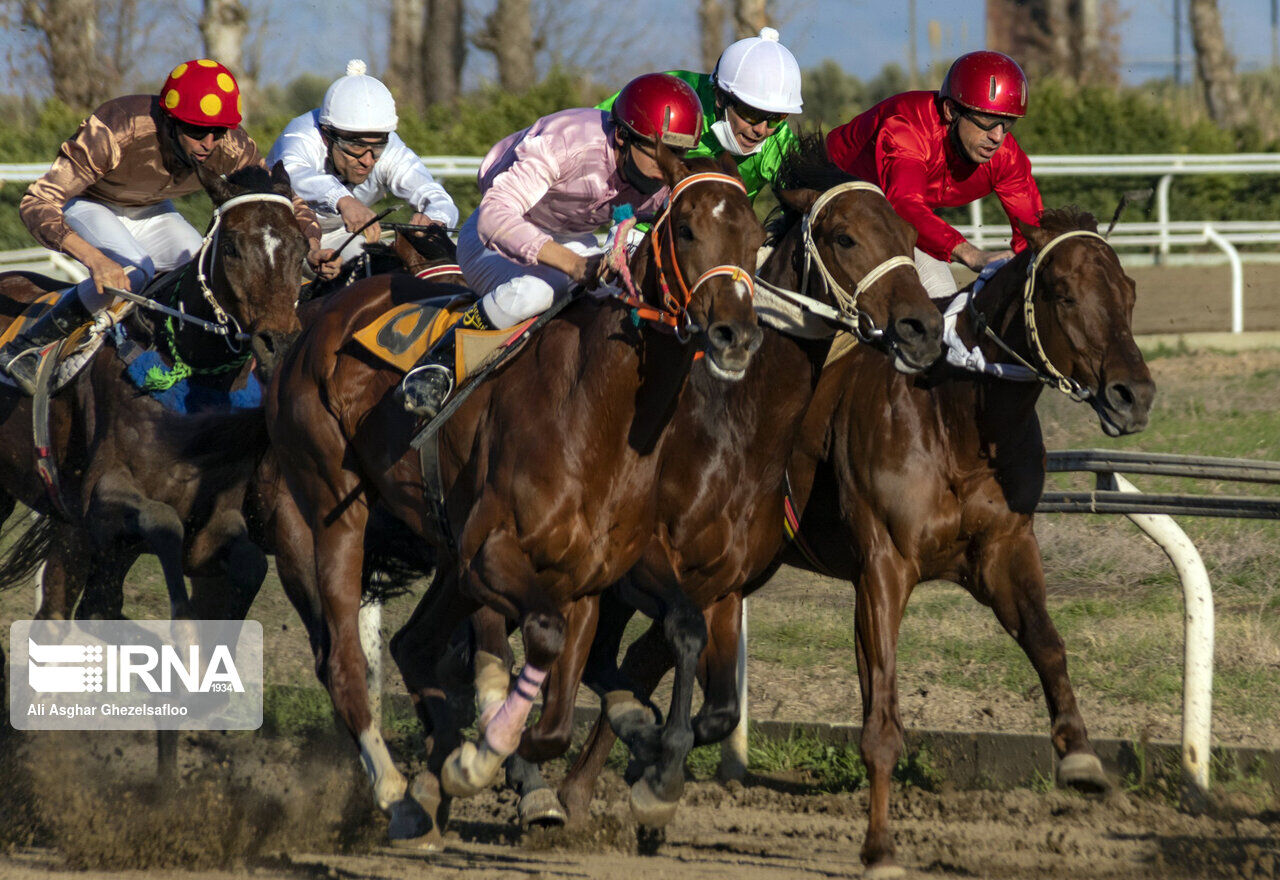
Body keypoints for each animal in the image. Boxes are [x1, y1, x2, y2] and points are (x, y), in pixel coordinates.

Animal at [267, 149, 768, 844]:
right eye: (688, 230)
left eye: (756, 238)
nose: (734, 338)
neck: (595, 412)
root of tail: (314, 317)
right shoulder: (491, 556)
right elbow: (543, 649)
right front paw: (484, 759)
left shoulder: (592, 575)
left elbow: (570, 705)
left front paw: (637, 758)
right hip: (329, 512)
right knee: (343, 663)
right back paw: (400, 795)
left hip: (443, 549)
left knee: (412, 645)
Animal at [778, 205, 1162, 874]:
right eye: (1063, 294)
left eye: (1131, 292)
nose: (1133, 396)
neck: (954, 421)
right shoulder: (883, 565)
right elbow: (882, 710)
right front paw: (880, 846)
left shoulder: (1003, 548)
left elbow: (1047, 643)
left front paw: (1080, 755)